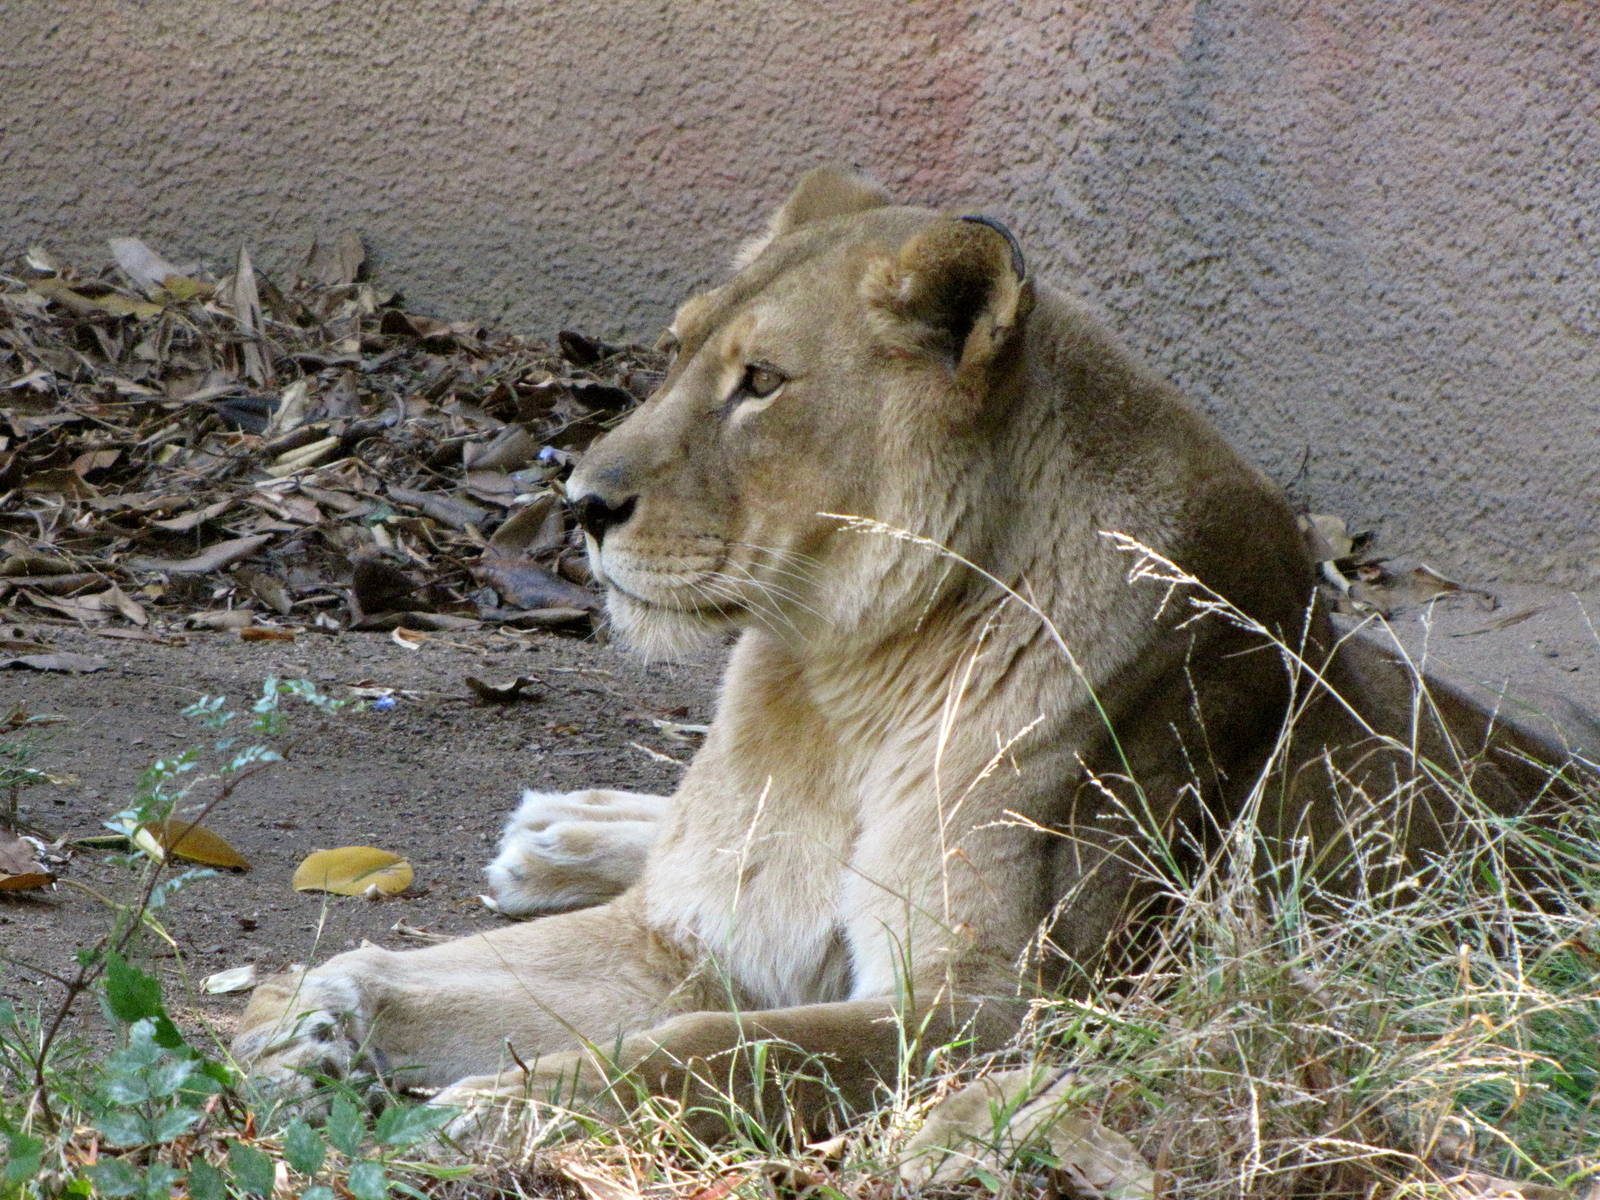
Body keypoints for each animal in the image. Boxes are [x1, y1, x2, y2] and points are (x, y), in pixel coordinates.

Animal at [234, 168, 1593, 1151]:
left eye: (760, 383)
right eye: (675, 353)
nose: (579, 503)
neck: (843, 674)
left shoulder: (1000, 1015)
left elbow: (721, 1055)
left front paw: (508, 1109)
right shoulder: (693, 939)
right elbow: (467, 977)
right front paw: (314, 1019)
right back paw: (565, 836)